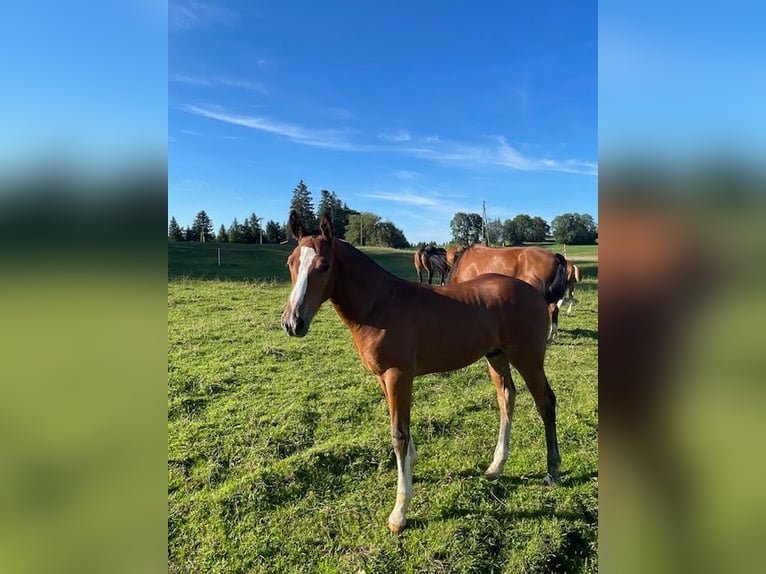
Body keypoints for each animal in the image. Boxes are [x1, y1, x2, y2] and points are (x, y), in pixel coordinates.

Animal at [282, 213, 564, 536]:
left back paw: (553, 471)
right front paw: (411, 469)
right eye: (290, 263)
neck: (381, 305)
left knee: (545, 402)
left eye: (324, 265)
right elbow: (402, 431)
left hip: (528, 357)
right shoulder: (384, 378)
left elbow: (398, 435)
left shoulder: (398, 376)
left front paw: (399, 512)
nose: (293, 322)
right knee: (507, 398)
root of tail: (535, 293)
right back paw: (496, 467)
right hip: (496, 356)